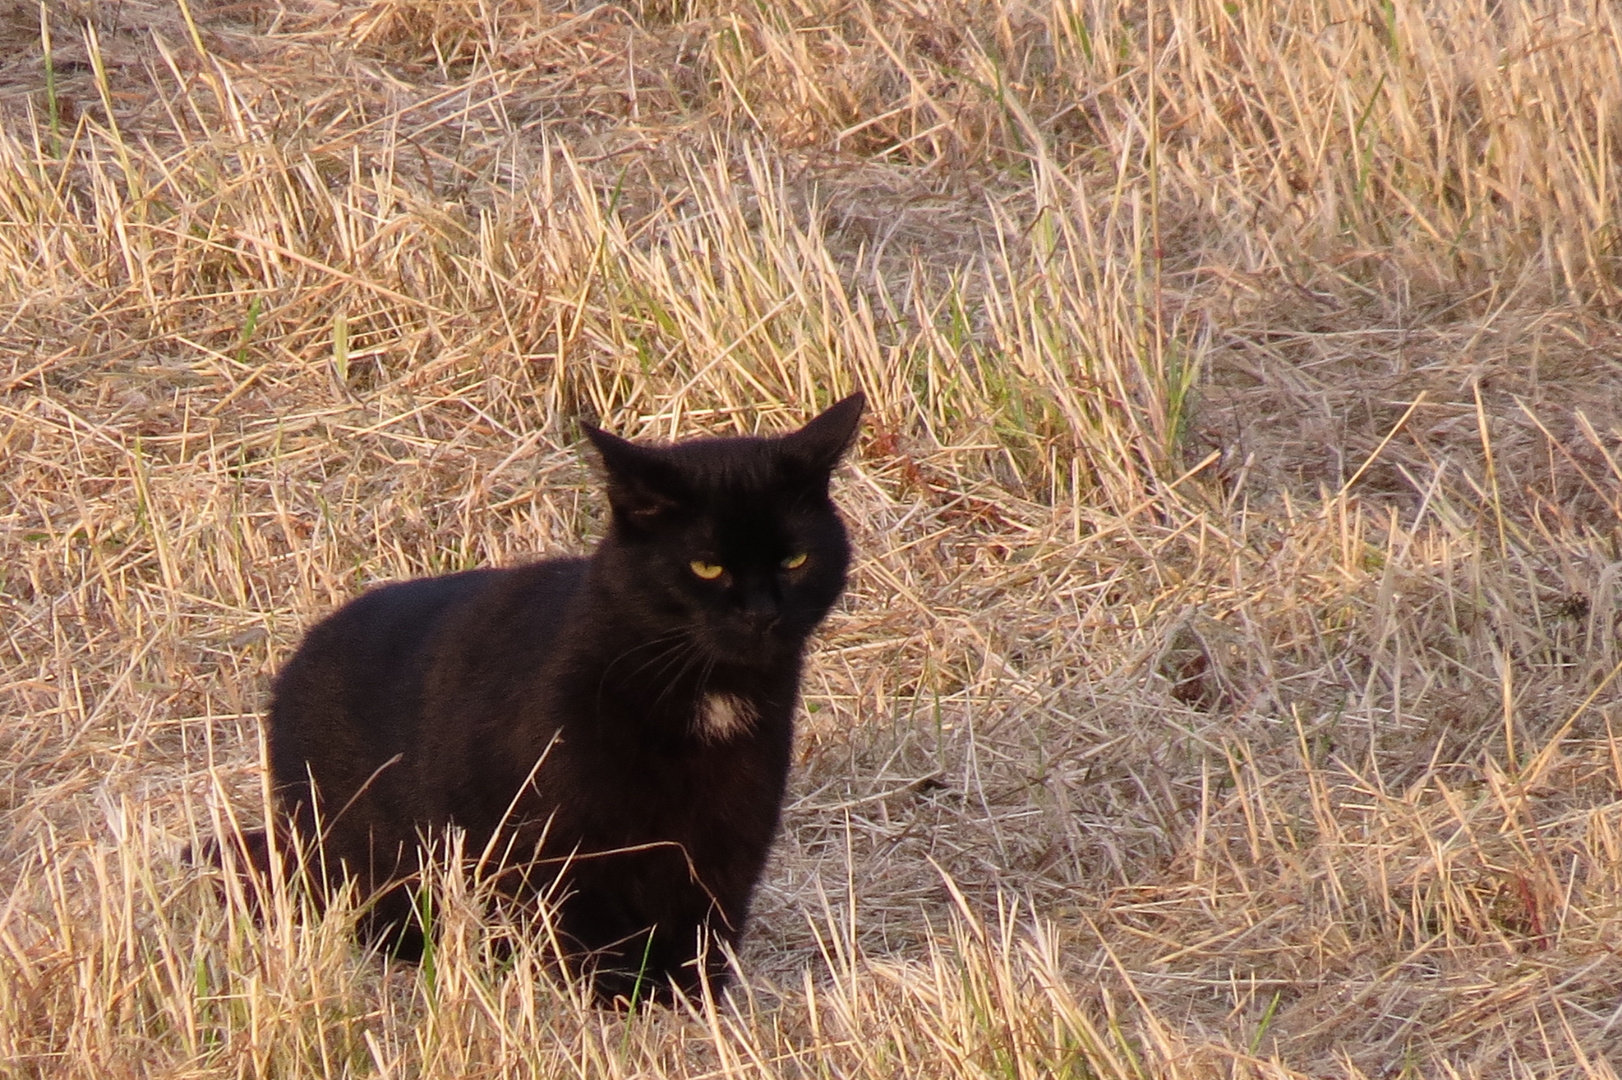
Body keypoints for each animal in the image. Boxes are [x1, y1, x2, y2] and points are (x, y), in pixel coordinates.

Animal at [253, 394, 862, 998]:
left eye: (796, 561)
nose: (763, 614)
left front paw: (693, 999)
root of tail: (292, 667)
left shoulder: (736, 819)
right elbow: (585, 920)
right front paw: (616, 998)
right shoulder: (559, 834)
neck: (706, 692)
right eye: (706, 566)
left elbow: (710, 916)